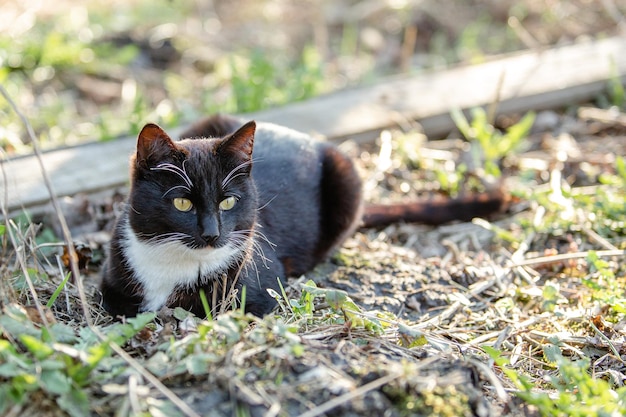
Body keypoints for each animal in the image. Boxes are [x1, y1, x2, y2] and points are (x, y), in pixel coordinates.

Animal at [101, 115, 502, 316]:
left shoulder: (258, 291)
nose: (213, 234)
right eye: (182, 204)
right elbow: (121, 304)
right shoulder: (113, 279)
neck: (174, 264)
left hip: (347, 179)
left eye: (228, 202)